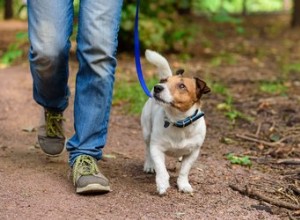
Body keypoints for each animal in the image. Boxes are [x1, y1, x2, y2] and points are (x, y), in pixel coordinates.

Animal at [141, 49, 210, 194]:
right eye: (164, 81)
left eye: (182, 86)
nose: (157, 87)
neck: (178, 121)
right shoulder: (156, 148)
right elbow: (161, 169)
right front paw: (162, 184)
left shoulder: (193, 153)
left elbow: (184, 171)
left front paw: (183, 185)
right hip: (147, 132)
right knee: (147, 149)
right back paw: (149, 165)